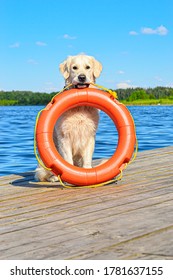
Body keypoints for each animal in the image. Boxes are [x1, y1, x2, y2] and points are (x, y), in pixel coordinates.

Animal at [35, 54, 102, 182]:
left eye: (88, 67)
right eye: (74, 68)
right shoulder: (64, 136)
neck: (80, 107)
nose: (82, 77)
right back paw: (53, 178)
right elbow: (67, 160)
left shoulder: (90, 135)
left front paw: (88, 171)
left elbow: (87, 157)